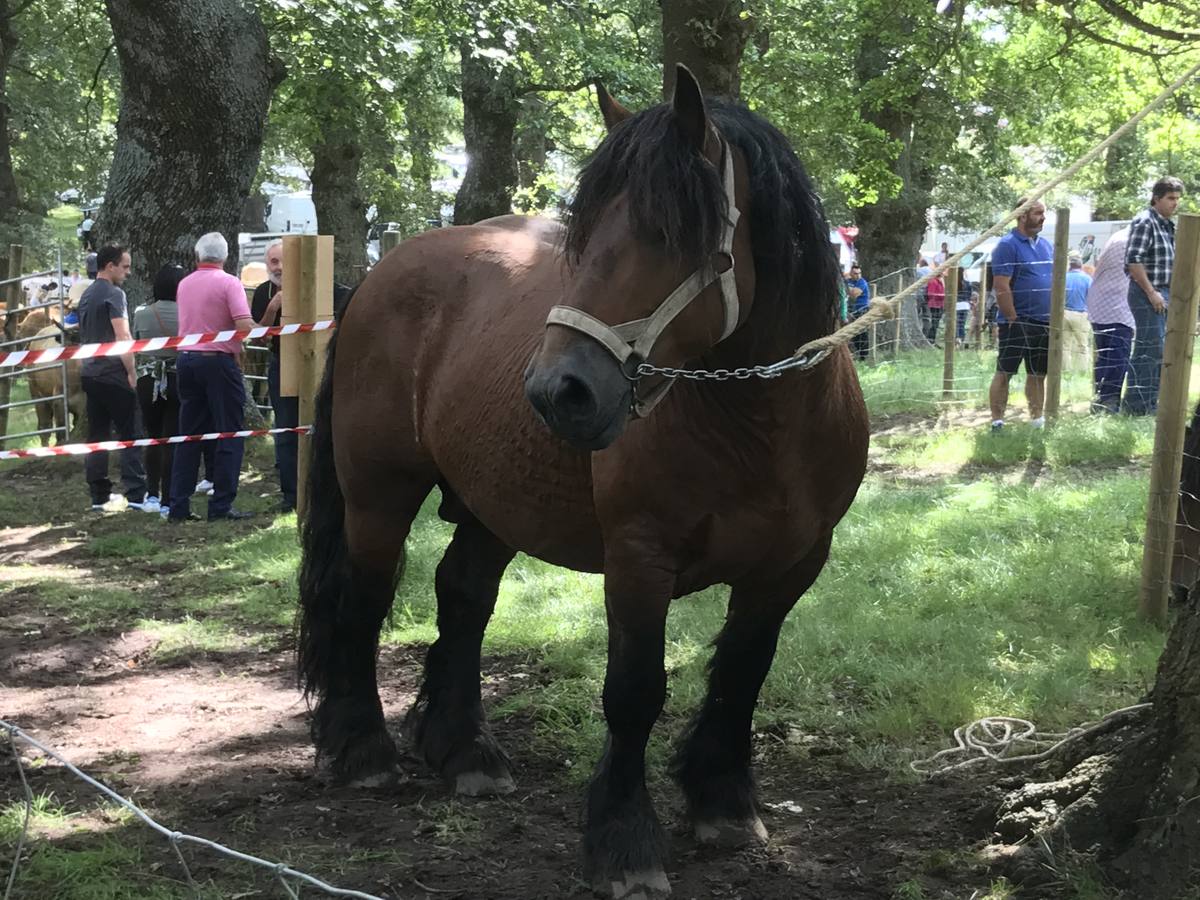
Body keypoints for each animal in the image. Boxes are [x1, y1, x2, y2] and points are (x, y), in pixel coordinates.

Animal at [295, 66, 868, 897]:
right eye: (585, 228)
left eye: (669, 230)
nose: (556, 391)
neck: (758, 425)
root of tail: (375, 278)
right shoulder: (638, 560)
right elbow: (634, 693)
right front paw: (625, 841)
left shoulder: (791, 566)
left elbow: (742, 673)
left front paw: (724, 803)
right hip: (378, 495)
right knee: (362, 602)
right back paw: (364, 748)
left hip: (492, 505)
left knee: (463, 597)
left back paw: (465, 752)